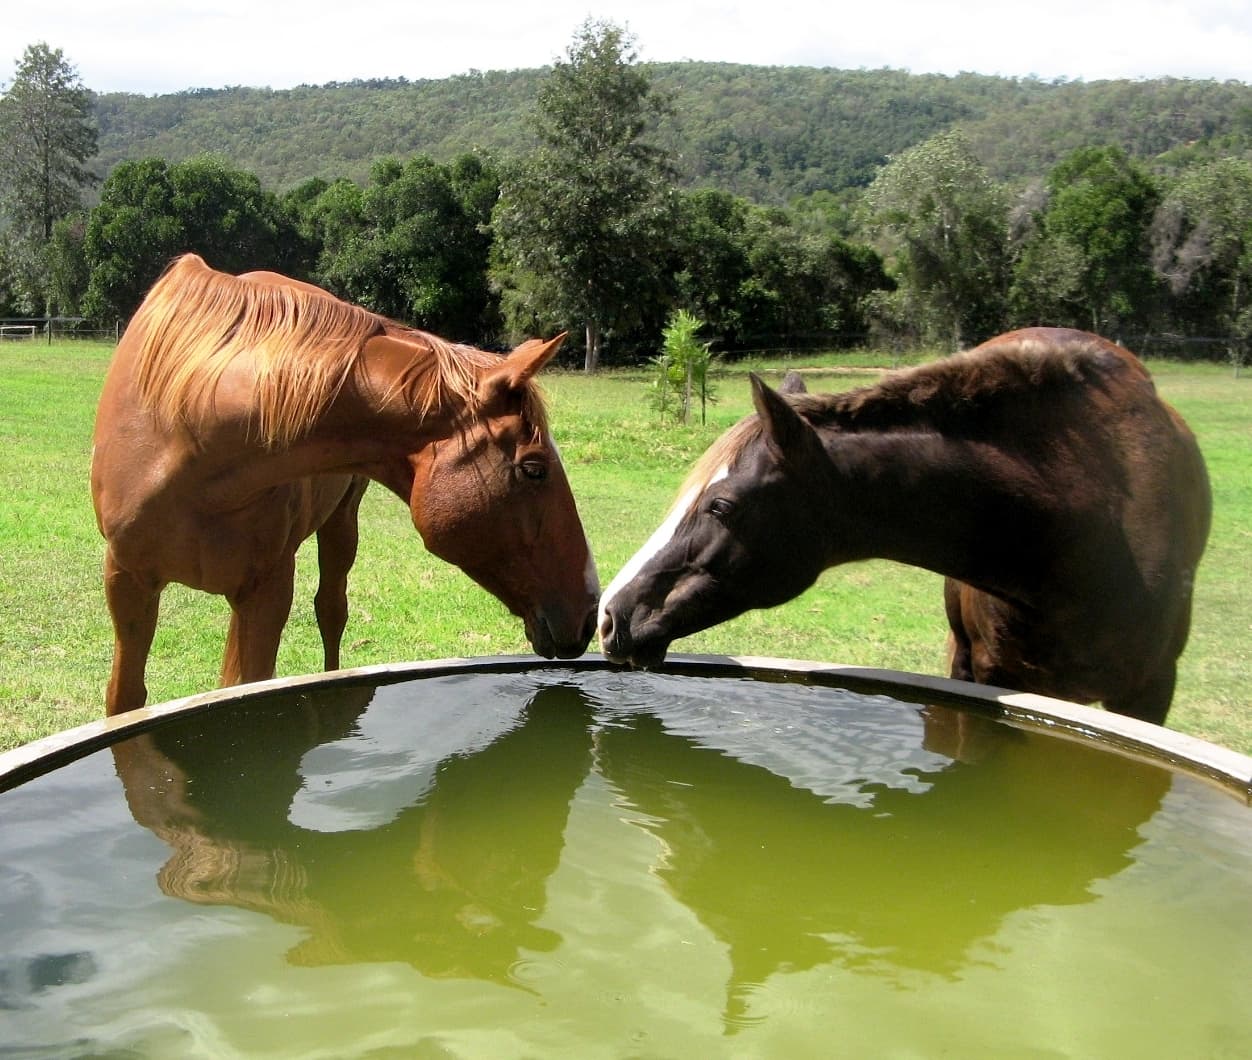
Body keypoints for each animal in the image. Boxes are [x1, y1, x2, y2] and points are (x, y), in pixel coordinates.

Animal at [91, 254, 599, 715]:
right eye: (534, 468)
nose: (590, 609)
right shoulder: (127, 582)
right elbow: (125, 700)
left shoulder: (267, 590)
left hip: (341, 524)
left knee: (331, 611)